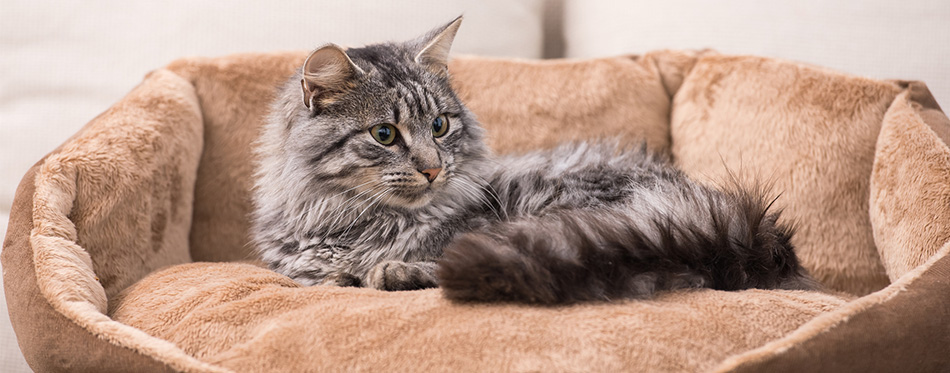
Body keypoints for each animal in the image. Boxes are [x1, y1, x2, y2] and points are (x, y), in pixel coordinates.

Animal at [251, 16, 820, 304]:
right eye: (385, 134)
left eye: (440, 126)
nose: (433, 168)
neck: (349, 220)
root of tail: (749, 229)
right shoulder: (298, 267)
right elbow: (319, 278)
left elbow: (403, 265)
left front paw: (388, 271)